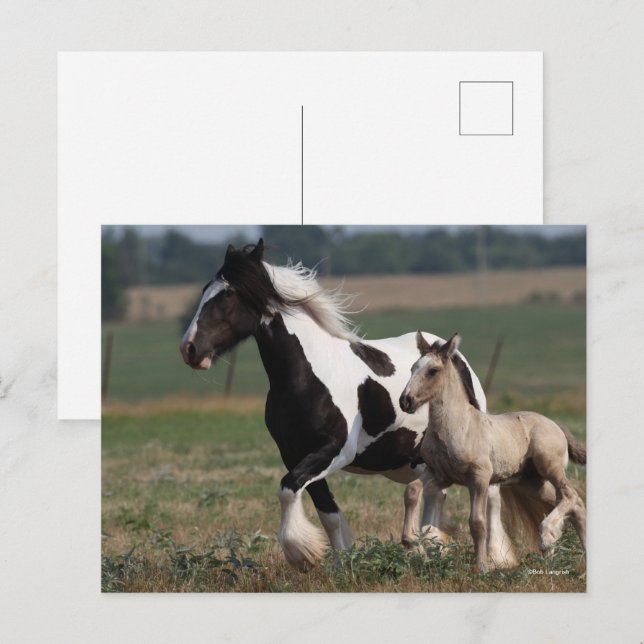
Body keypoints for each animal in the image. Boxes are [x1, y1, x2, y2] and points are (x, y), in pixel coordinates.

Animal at [179, 239, 518, 570]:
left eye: (228, 295)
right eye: (205, 290)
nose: (189, 349)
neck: (308, 376)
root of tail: (449, 351)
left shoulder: (336, 450)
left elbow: (288, 488)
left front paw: (302, 554)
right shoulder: (293, 453)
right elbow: (326, 513)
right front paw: (341, 564)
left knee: (490, 497)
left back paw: (493, 558)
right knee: (436, 497)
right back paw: (430, 548)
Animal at [399, 331, 587, 571]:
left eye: (433, 370)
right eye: (413, 368)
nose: (405, 401)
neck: (458, 426)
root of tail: (556, 424)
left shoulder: (479, 478)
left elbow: (477, 523)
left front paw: (481, 567)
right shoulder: (440, 475)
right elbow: (412, 490)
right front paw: (412, 543)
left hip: (549, 467)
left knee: (570, 496)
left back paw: (547, 536)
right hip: (531, 482)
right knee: (574, 503)